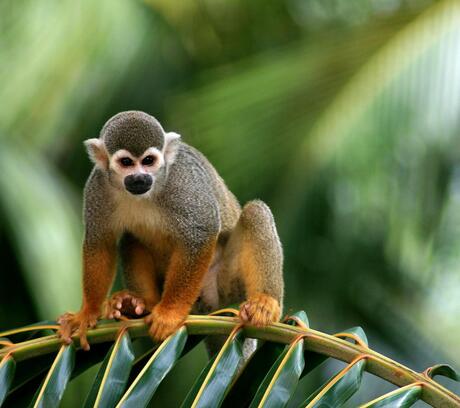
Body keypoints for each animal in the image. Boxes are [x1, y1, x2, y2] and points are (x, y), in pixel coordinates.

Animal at [58, 111, 284, 350]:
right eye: (126, 162)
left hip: (224, 285)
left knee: (255, 213)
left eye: (148, 161)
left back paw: (265, 303)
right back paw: (139, 304)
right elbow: (100, 243)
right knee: (130, 238)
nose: (140, 178)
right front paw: (87, 313)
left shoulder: (182, 183)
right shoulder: (98, 186)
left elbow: (201, 233)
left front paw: (170, 313)